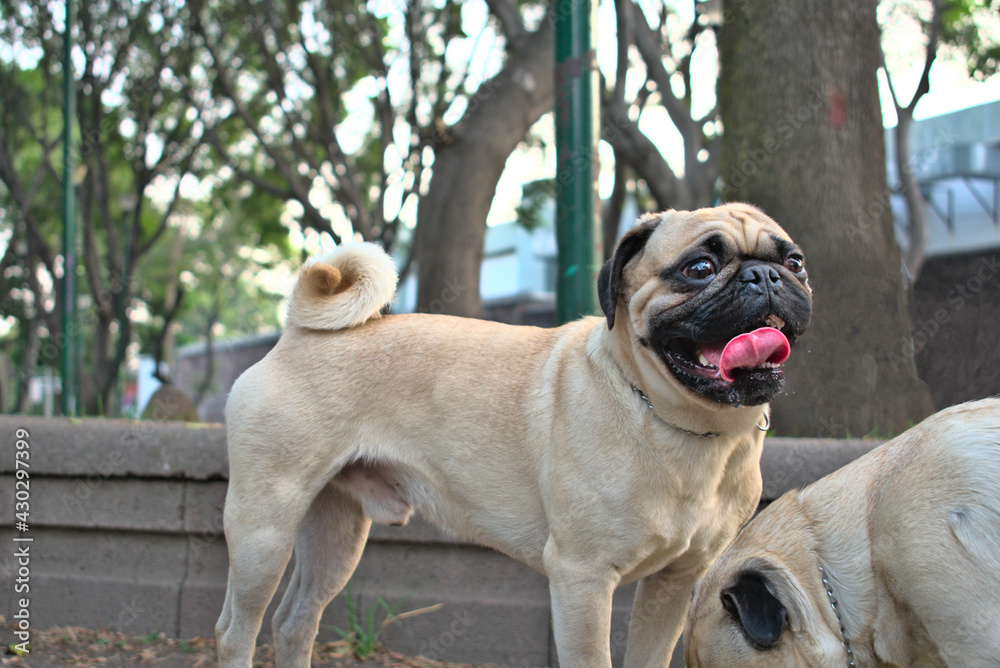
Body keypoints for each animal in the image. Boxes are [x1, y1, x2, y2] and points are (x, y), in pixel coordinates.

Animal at [217, 204, 812, 668]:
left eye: (795, 263)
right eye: (699, 268)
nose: (764, 275)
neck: (687, 426)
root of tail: (297, 333)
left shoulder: (673, 583)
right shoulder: (581, 581)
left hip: (335, 533)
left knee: (294, 621)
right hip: (264, 529)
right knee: (236, 629)